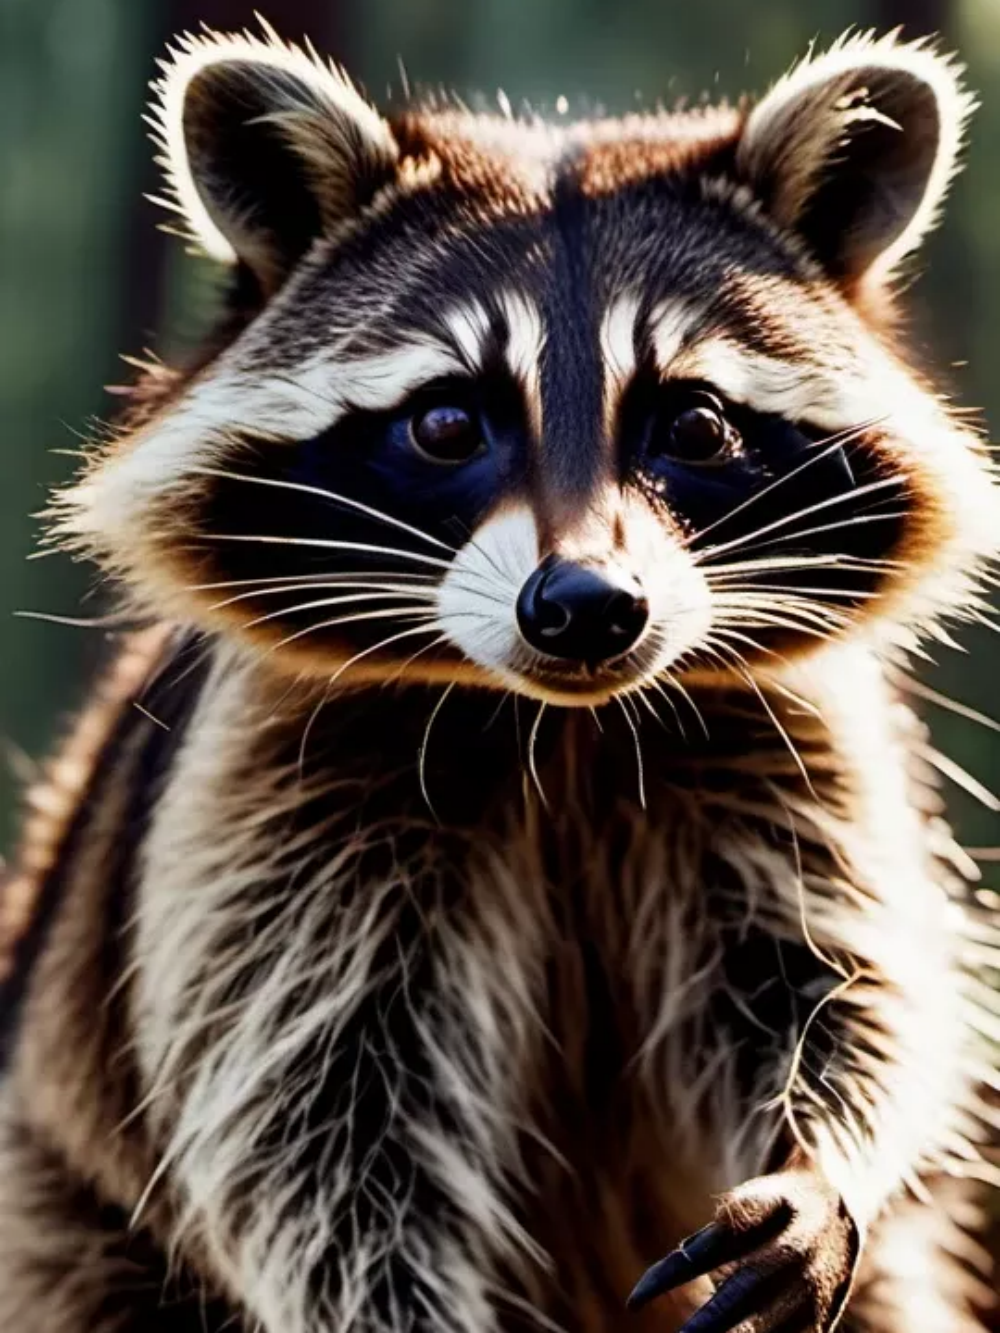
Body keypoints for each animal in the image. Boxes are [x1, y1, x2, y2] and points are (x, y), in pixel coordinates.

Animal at [1, 20, 998, 1333]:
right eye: (445, 424)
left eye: (694, 424)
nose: (584, 607)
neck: (561, 725)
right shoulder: (268, 796)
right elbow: (308, 1113)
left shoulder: (794, 737)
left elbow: (847, 982)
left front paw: (822, 1157)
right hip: (63, 1215)